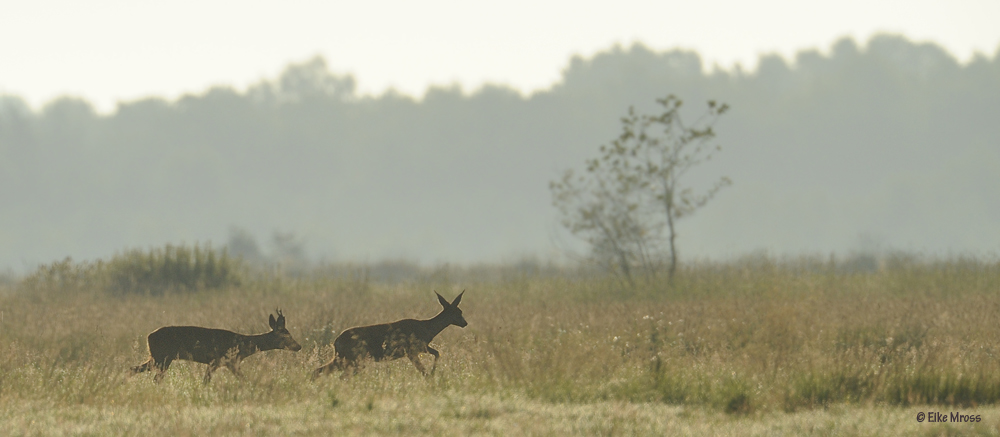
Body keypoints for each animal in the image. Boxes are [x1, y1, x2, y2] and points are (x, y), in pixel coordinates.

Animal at [131, 306, 300, 382]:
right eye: (286, 334)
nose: (299, 346)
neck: (243, 346)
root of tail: (148, 337)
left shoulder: (229, 363)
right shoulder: (220, 361)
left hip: (157, 358)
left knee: (134, 369)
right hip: (162, 357)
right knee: (153, 377)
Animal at [312, 290, 468, 378]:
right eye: (458, 312)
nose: (465, 323)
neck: (428, 328)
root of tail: (336, 342)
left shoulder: (421, 347)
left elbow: (437, 353)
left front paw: (433, 373)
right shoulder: (412, 350)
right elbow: (424, 368)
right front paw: (431, 375)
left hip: (345, 358)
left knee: (320, 371)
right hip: (355, 357)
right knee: (341, 376)